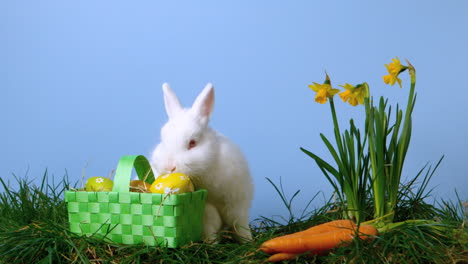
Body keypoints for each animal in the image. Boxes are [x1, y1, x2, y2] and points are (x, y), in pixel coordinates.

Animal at [151, 82, 254, 241]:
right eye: (163, 140)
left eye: (192, 143)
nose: (169, 167)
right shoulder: (206, 211)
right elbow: (210, 228)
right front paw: (212, 243)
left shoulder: (238, 203)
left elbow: (240, 225)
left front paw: (248, 241)